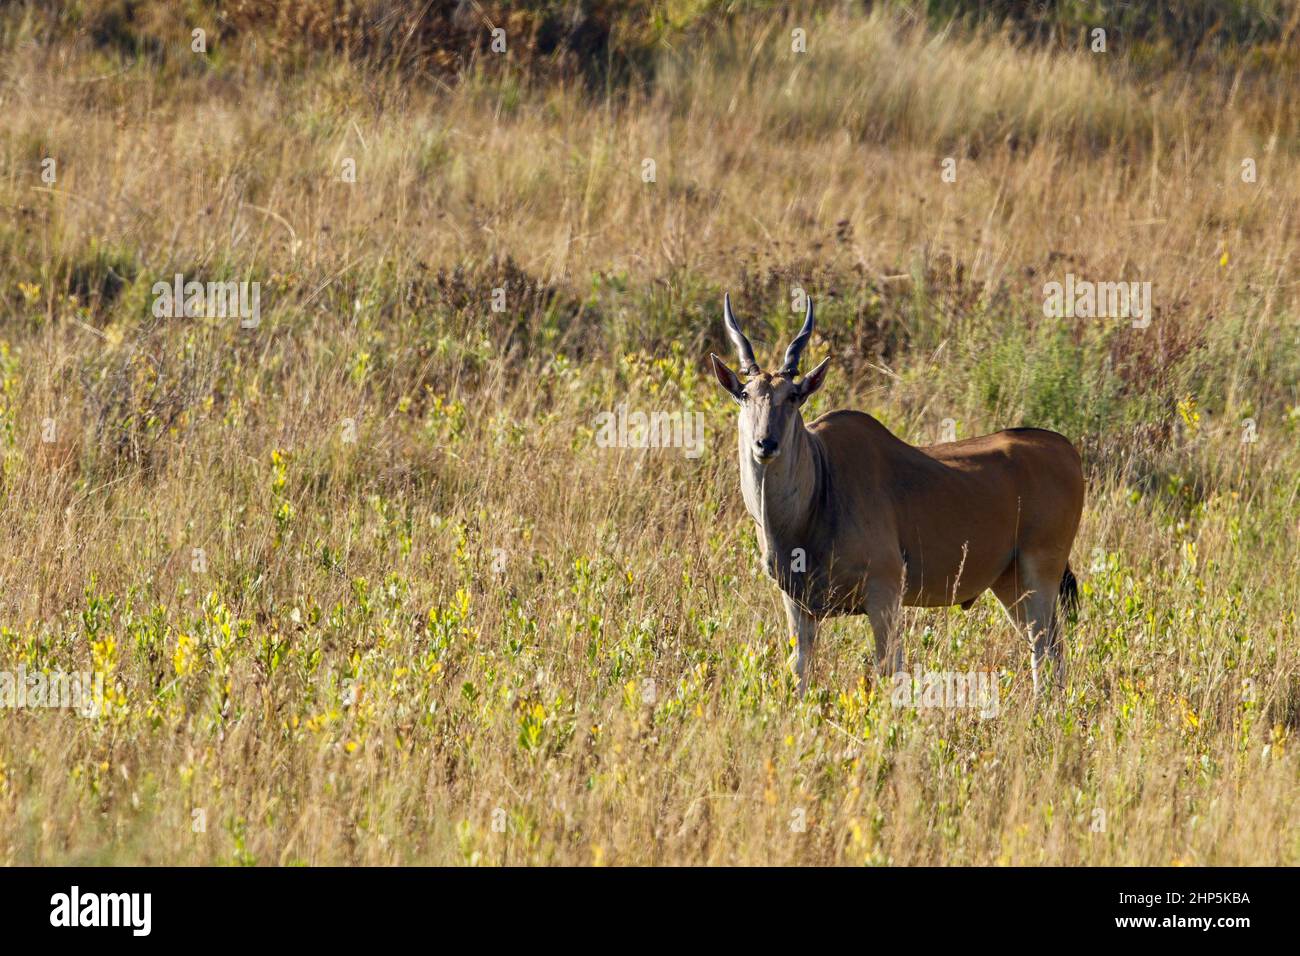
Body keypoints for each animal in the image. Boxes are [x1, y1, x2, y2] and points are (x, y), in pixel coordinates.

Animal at [712, 293, 1086, 697]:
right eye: (745, 394)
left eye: (794, 396)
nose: (765, 443)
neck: (819, 492)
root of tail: (1067, 450)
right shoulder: (798, 604)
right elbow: (800, 671)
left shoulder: (885, 593)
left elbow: (890, 669)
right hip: (1010, 582)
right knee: (1045, 646)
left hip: (1040, 571)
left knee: (1048, 647)